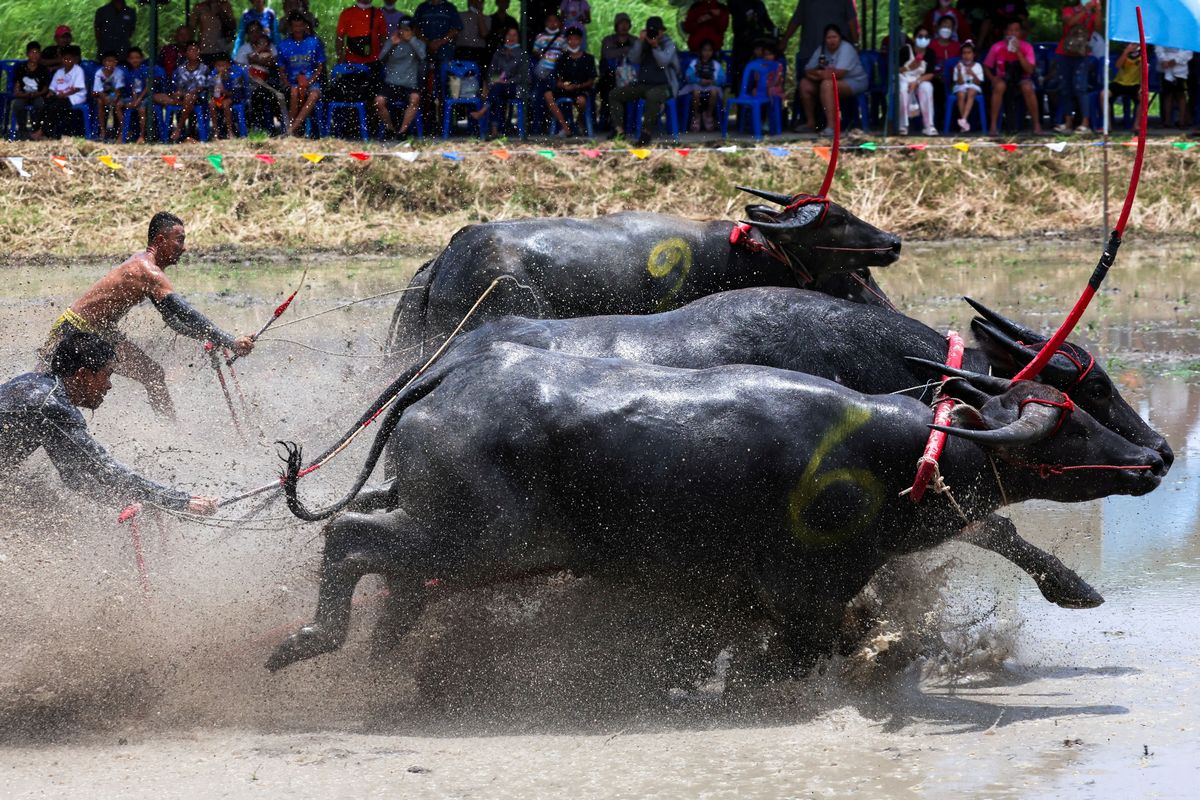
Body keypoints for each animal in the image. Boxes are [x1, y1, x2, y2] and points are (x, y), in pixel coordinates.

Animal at [270, 345, 1161, 676]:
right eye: (1072, 420)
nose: (1154, 458)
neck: (898, 451)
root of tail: (446, 377)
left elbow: (997, 527)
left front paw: (1074, 586)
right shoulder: (802, 588)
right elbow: (828, 638)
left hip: (455, 539)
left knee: (387, 567)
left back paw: (382, 652)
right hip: (473, 540)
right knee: (352, 537)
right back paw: (307, 640)